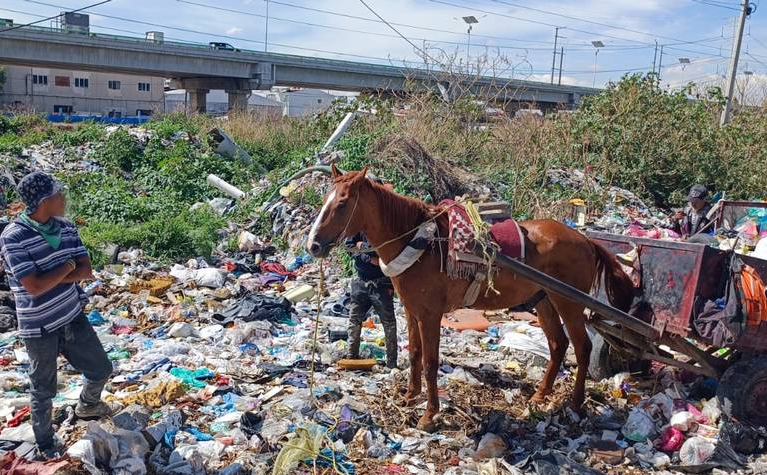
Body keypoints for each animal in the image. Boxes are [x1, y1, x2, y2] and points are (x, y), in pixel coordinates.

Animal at [308, 166, 636, 432]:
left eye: (342, 203)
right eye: (325, 200)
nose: (313, 246)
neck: (421, 242)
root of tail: (586, 240)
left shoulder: (430, 314)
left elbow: (430, 361)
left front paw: (429, 415)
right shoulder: (412, 311)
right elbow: (414, 354)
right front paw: (410, 396)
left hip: (569, 302)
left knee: (582, 347)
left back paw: (576, 403)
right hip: (543, 300)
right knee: (558, 345)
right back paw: (540, 395)